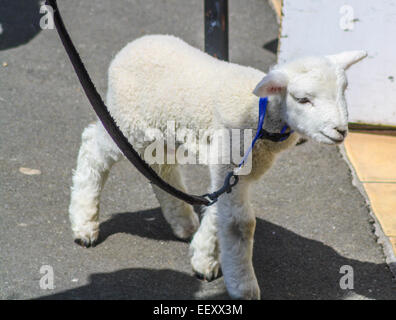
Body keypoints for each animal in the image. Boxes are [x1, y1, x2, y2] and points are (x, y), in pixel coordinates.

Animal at [69, 35, 368, 300]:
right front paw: (243, 287)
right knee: (93, 148)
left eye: (343, 91)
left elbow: (218, 211)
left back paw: (183, 221)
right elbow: (240, 224)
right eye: (303, 99)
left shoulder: (233, 172)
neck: (260, 118)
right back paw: (84, 225)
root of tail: (132, 46)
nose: (340, 131)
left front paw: (203, 257)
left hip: (161, 129)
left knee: (161, 165)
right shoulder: (228, 158)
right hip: (127, 122)